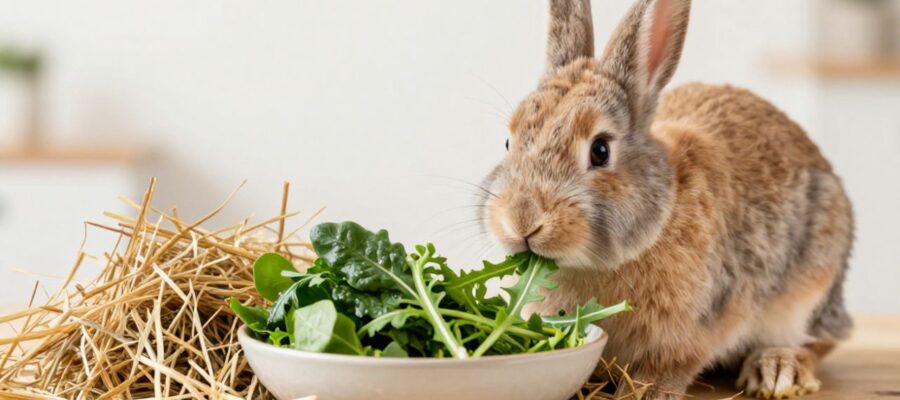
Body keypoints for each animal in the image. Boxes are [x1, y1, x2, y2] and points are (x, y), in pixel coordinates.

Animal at [477, 0, 854, 399]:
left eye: (600, 150)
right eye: (509, 142)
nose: (521, 221)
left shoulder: (702, 324)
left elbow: (673, 364)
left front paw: (646, 392)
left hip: (810, 286)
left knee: (820, 340)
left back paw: (778, 368)